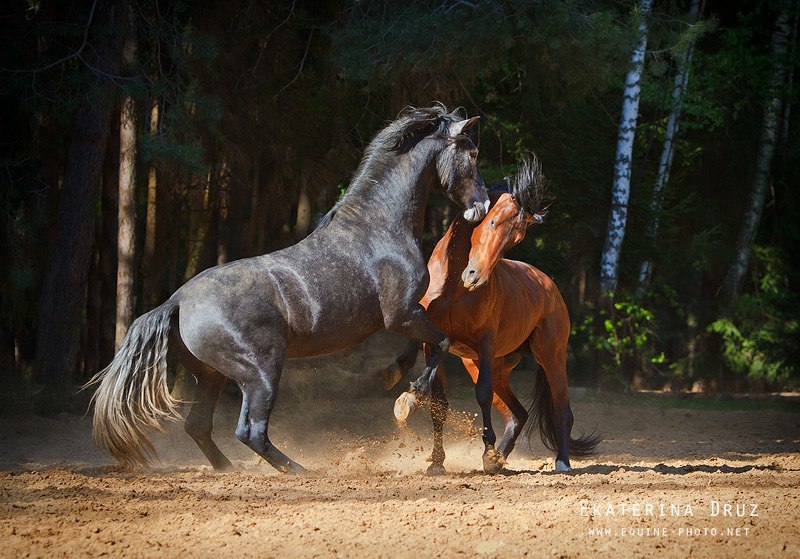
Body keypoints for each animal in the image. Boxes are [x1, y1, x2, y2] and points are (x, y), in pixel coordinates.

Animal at [87, 104, 488, 472]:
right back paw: (299, 470)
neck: (379, 228)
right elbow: (440, 344)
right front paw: (407, 398)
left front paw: (393, 378)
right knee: (249, 431)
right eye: (471, 154)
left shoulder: (404, 316)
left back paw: (230, 470)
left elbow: (423, 347)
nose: (482, 206)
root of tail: (177, 301)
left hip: (212, 375)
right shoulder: (402, 314)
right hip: (260, 372)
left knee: (199, 426)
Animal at [384, 156, 596, 472]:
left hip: (550, 356)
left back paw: (560, 463)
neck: (453, 288)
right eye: (492, 221)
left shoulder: (485, 342)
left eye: (515, 239)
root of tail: (549, 287)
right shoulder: (432, 337)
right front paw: (437, 461)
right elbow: (439, 400)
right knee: (517, 414)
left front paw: (486, 451)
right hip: (494, 366)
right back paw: (499, 460)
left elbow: (481, 394)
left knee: (562, 410)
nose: (475, 277)